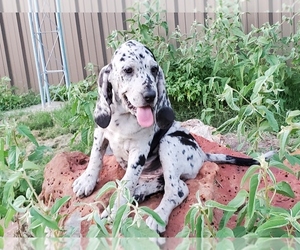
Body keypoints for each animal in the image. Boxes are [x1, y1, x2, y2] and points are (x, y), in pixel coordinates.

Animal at [72, 40, 268, 233]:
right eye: (128, 70)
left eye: (154, 70)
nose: (151, 96)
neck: (124, 118)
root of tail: (202, 153)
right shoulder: (100, 133)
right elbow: (95, 158)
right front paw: (87, 181)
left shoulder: (138, 152)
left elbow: (127, 184)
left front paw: (116, 211)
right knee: (163, 184)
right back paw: (140, 193)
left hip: (169, 143)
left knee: (177, 190)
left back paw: (156, 217)